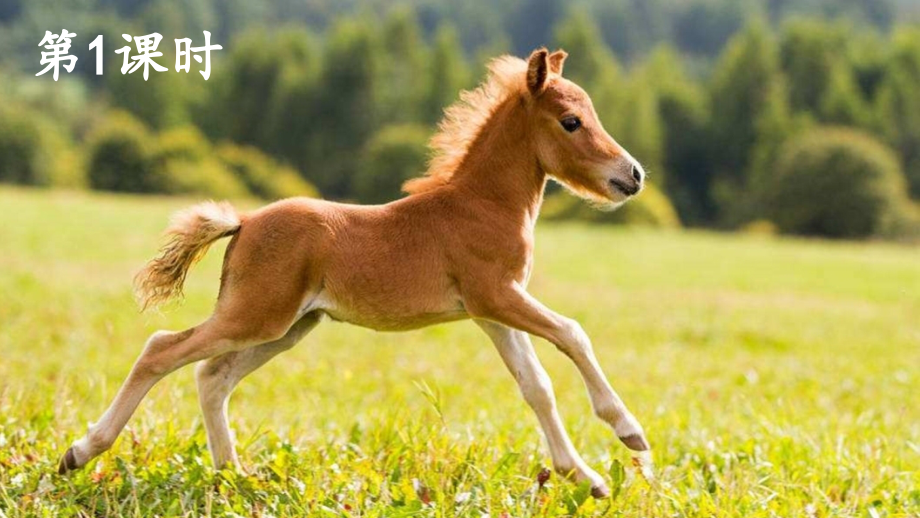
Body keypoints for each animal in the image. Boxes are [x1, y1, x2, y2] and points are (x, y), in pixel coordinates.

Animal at [58, 48, 650, 498]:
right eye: (571, 121)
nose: (634, 174)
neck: (481, 204)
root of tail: (245, 222)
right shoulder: (497, 296)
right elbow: (573, 333)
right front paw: (630, 434)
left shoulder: (490, 311)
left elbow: (536, 386)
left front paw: (587, 478)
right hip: (257, 315)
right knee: (162, 348)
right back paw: (80, 452)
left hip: (289, 326)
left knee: (212, 377)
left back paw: (235, 477)